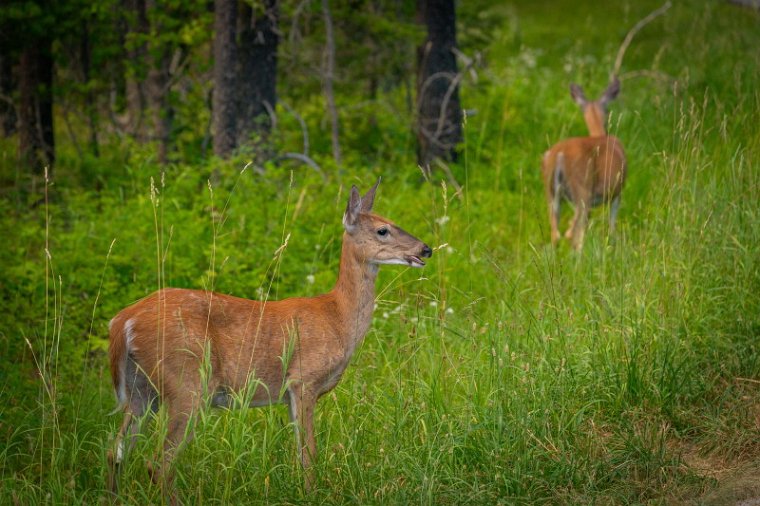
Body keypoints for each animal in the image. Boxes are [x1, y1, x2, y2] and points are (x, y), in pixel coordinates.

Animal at [105, 179, 434, 502]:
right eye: (383, 229)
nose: (426, 249)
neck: (338, 316)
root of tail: (123, 322)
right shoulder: (304, 380)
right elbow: (309, 454)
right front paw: (311, 495)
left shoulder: (290, 392)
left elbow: (300, 452)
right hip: (188, 381)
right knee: (158, 463)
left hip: (142, 390)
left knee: (115, 452)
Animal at [544, 78, 628, 250]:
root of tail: (559, 155)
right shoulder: (616, 192)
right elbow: (612, 225)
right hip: (582, 190)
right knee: (572, 232)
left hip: (551, 193)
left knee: (555, 233)